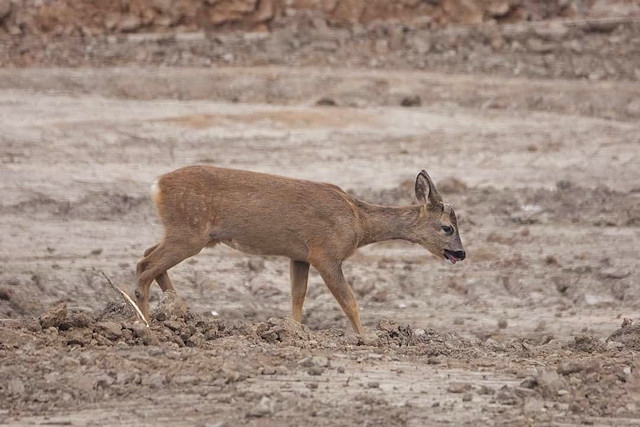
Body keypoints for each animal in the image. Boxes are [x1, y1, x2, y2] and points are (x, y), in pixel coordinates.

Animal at [136, 166, 464, 336]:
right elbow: (350, 301)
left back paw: (173, 311)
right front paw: (366, 338)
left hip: (186, 233)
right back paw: (147, 323)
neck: (358, 223)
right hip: (190, 231)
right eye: (448, 227)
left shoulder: (300, 256)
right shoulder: (325, 253)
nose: (461, 254)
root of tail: (157, 185)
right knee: (145, 266)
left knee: (148, 255)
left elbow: (298, 297)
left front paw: (292, 332)